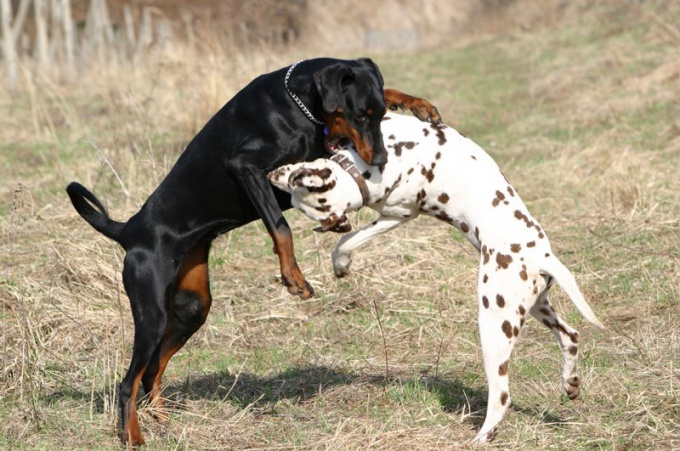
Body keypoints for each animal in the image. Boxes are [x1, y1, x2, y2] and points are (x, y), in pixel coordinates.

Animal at [67, 57, 440, 444]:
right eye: (358, 115)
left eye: (379, 114)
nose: (380, 160)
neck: (300, 104)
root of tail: (129, 231)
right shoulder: (247, 167)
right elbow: (280, 224)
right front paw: (293, 276)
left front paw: (415, 103)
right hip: (151, 311)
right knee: (128, 381)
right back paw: (134, 436)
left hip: (192, 306)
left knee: (153, 368)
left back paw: (161, 417)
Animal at [266, 111, 604, 444]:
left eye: (295, 189)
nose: (272, 174)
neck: (365, 173)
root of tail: (543, 257)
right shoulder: (394, 216)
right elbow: (347, 241)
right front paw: (341, 263)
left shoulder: (397, 208)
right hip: (535, 307)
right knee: (570, 336)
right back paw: (570, 382)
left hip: (494, 327)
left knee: (502, 395)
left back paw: (483, 436)